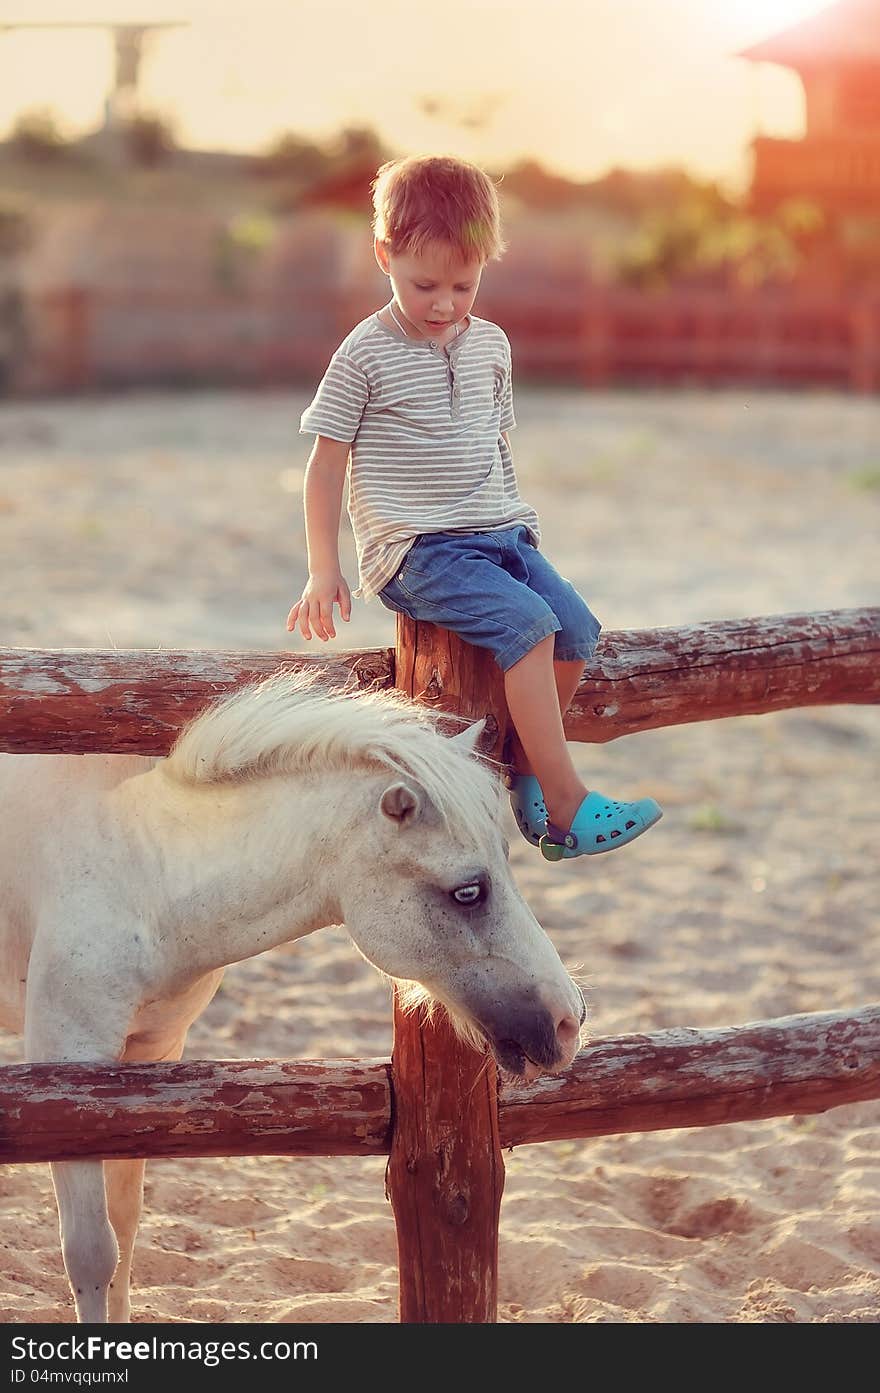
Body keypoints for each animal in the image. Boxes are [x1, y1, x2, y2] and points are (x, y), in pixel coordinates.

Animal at [1, 668, 590, 1320]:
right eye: (467, 892)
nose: (568, 1021)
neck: (139, 873)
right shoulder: (65, 1071)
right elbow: (90, 1252)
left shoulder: (143, 1061)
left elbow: (125, 1231)